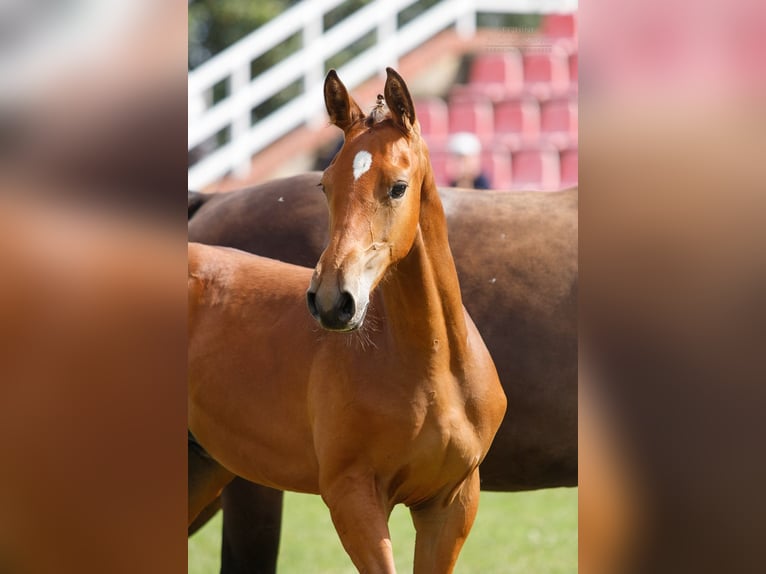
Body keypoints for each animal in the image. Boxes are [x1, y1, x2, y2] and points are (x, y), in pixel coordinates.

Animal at [188, 68, 508, 574]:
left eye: (398, 186)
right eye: (325, 184)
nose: (331, 301)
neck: (433, 370)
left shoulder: (452, 503)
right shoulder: (352, 496)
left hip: (201, 469)